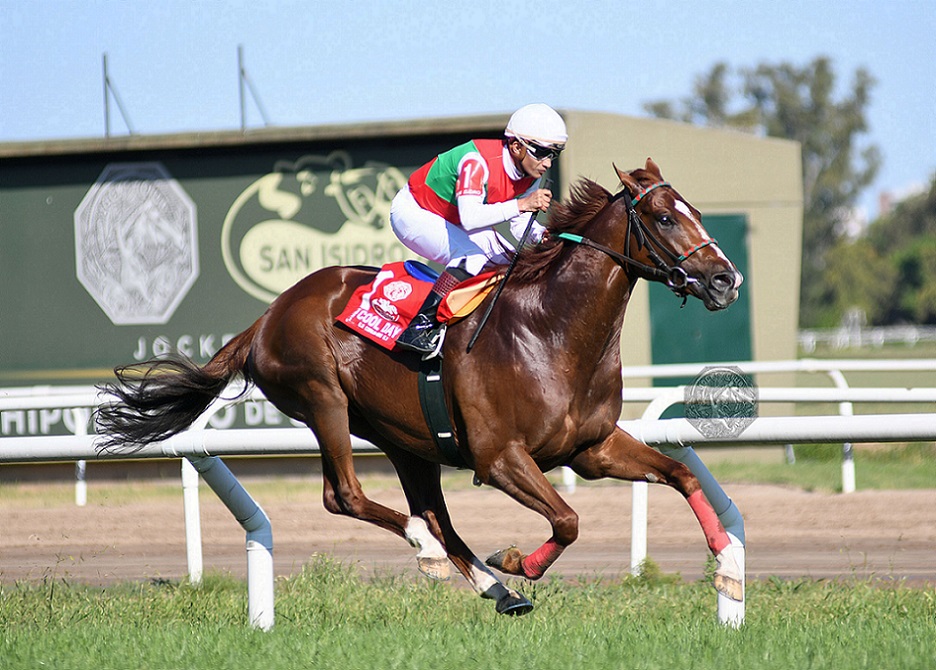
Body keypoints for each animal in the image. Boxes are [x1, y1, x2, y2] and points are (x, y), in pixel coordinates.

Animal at [95, 158, 744, 615]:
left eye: (697, 211)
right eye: (665, 218)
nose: (725, 279)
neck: (551, 329)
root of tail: (268, 314)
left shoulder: (591, 447)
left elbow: (682, 474)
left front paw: (728, 569)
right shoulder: (499, 457)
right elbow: (567, 520)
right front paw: (518, 561)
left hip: (407, 439)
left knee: (434, 515)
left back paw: (495, 589)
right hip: (325, 400)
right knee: (349, 497)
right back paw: (436, 555)